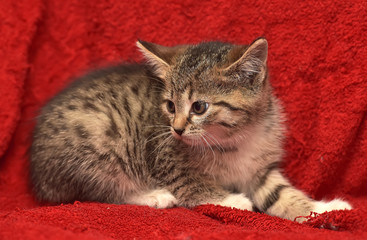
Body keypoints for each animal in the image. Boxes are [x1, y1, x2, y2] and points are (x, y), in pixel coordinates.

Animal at [30, 37, 352, 221]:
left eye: (199, 107)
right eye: (170, 106)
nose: (176, 130)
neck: (236, 137)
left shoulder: (260, 168)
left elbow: (279, 194)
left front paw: (322, 209)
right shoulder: (165, 156)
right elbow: (191, 183)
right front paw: (232, 200)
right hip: (100, 140)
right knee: (98, 192)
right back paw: (152, 196)